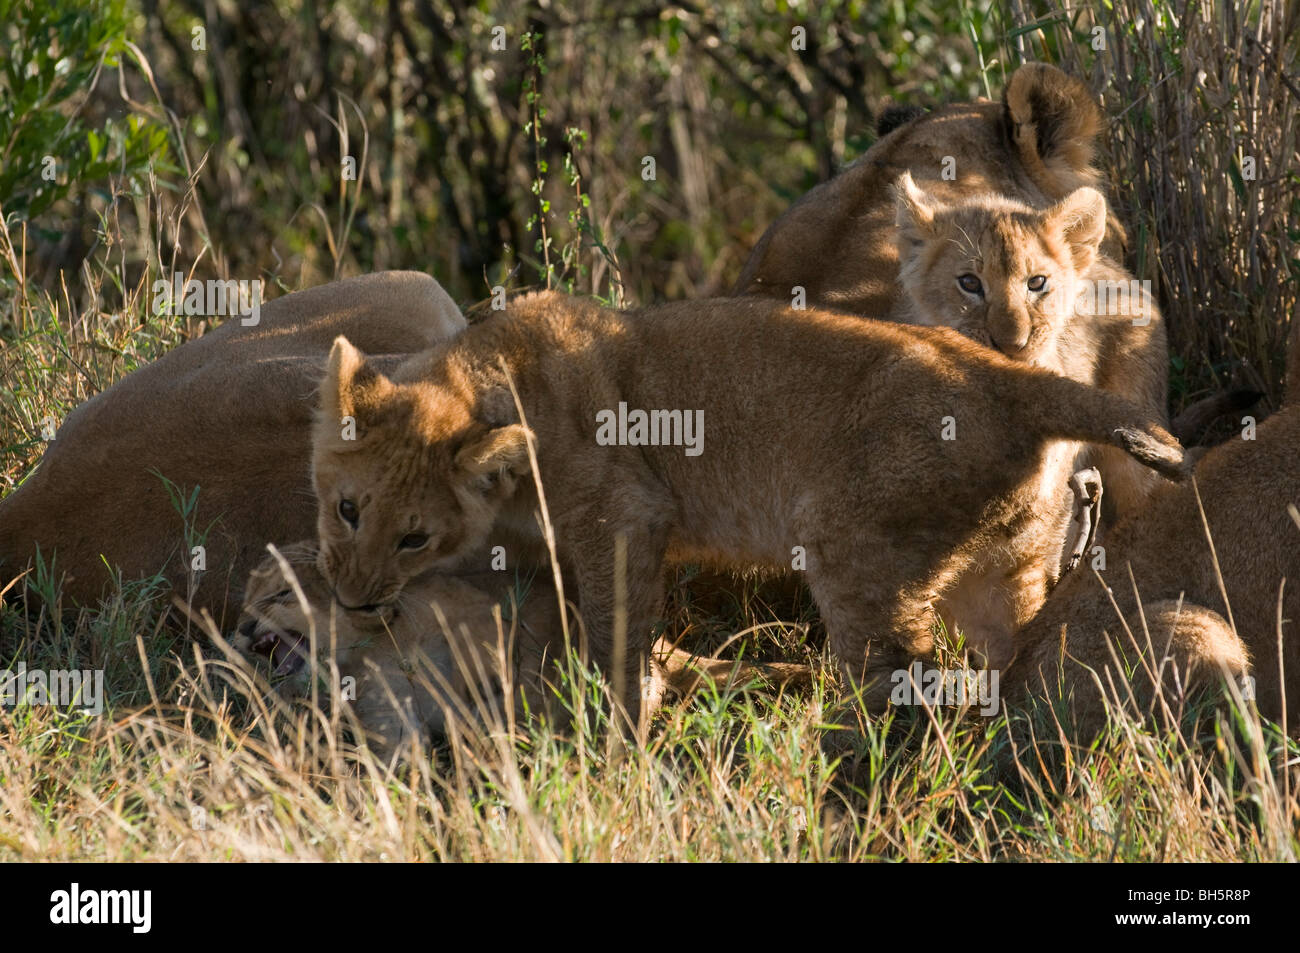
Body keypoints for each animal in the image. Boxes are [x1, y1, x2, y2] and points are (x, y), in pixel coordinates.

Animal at [309, 290, 1188, 717]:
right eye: (347, 510)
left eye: (413, 538)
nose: (352, 600)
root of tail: (1009, 378)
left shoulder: (625, 512)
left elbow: (617, 634)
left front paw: (622, 724)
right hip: (1004, 573)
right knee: (1016, 662)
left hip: (852, 553)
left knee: (903, 682)